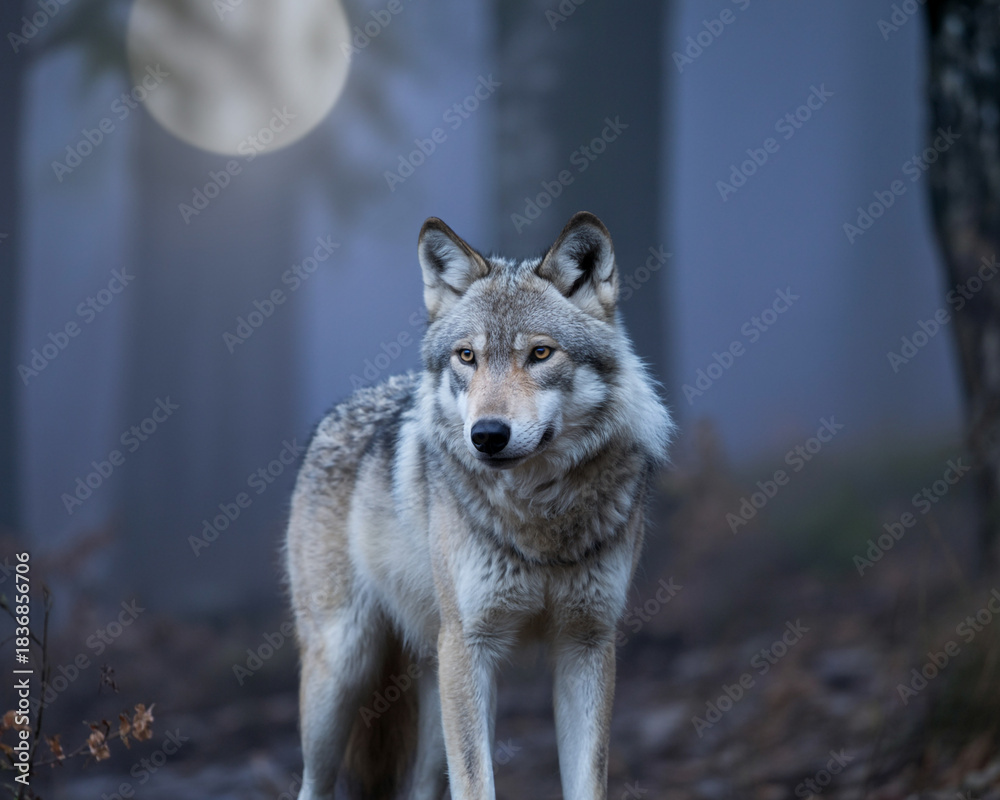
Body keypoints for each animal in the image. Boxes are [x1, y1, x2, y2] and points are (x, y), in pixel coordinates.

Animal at [285, 211, 674, 799]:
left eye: (540, 353)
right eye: (466, 355)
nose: (487, 435)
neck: (539, 517)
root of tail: (336, 412)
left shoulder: (586, 644)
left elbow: (586, 781)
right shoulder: (470, 646)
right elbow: (476, 783)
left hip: (430, 693)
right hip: (345, 671)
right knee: (313, 785)